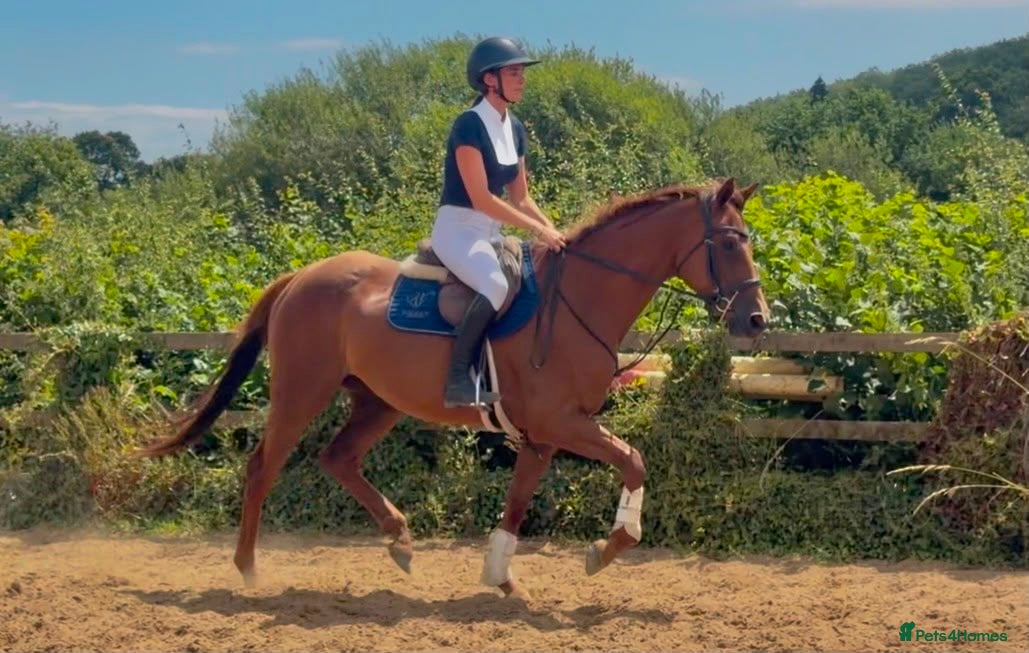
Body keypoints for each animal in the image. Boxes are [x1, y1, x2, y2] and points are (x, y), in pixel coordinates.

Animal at [136, 176, 770, 597]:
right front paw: (603, 551)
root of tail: (302, 276)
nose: (758, 319)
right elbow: (634, 460)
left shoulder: (542, 435)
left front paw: (501, 577)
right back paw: (249, 568)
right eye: (730, 243)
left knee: (337, 459)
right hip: (301, 393)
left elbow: (517, 502)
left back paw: (399, 541)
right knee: (263, 467)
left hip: (377, 402)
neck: (580, 297)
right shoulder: (563, 423)